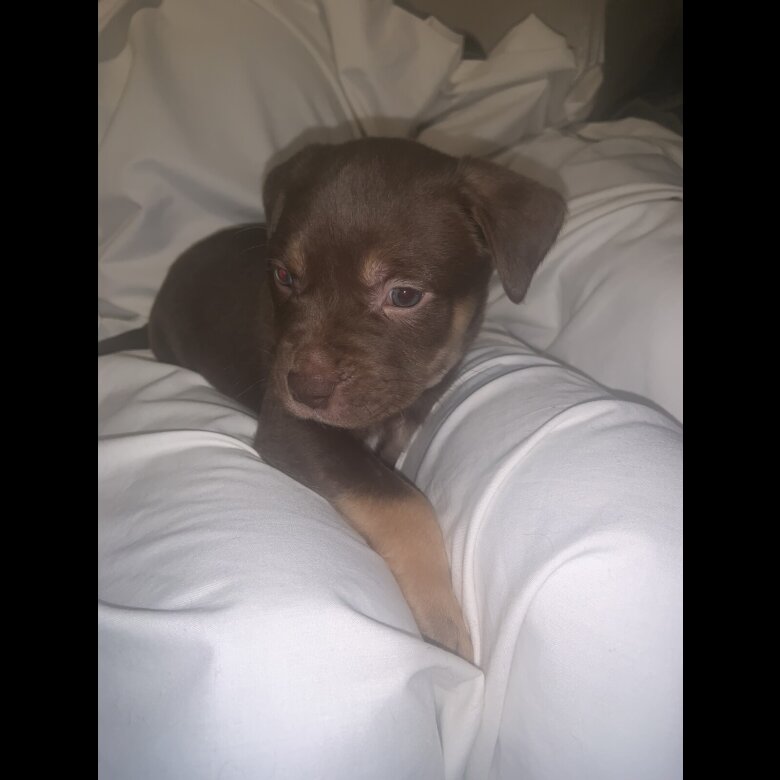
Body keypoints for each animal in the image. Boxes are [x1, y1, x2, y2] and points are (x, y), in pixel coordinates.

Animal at [98, 137, 566, 661]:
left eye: (405, 295)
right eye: (284, 276)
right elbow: (404, 504)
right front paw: (442, 623)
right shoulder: (291, 427)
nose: (304, 389)